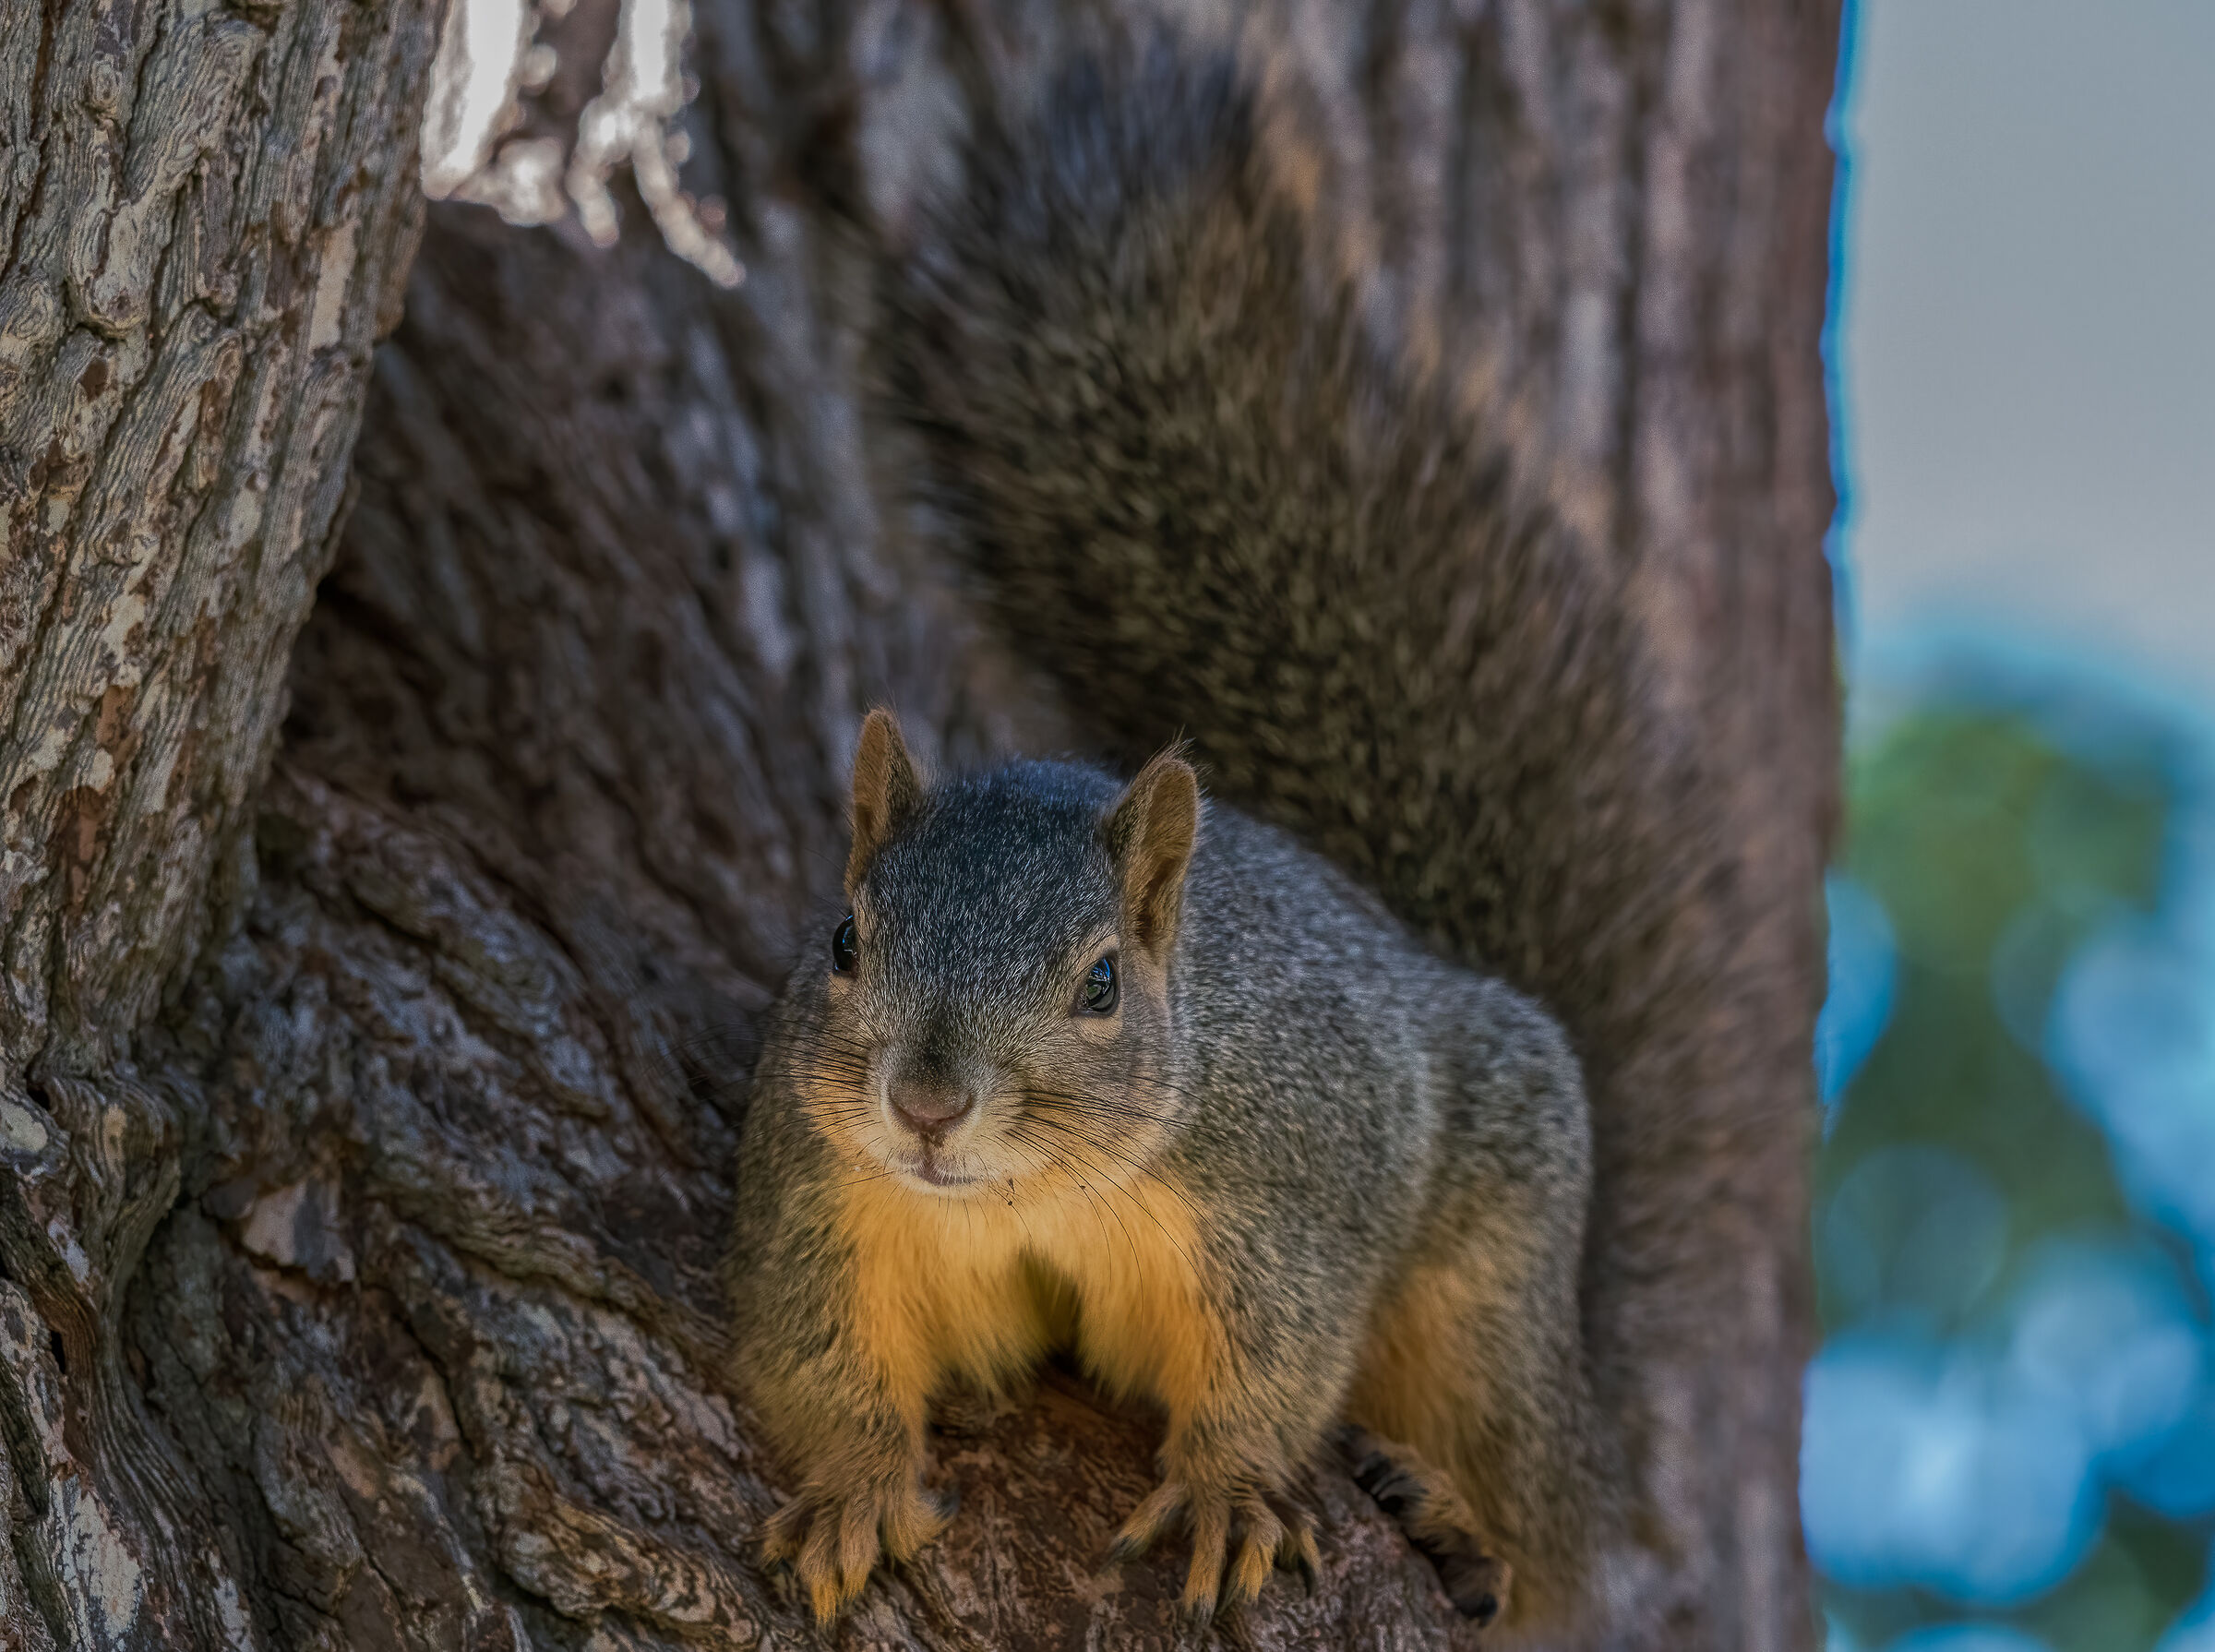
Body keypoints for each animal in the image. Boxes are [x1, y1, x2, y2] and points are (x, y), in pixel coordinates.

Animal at [725, 33, 1657, 1638]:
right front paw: (851, 1485)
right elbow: (812, 1351)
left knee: (1556, 1530)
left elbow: (1273, 1366)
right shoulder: (824, 1201)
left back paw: (1472, 1525)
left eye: (1102, 981)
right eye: (844, 938)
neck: (1028, 1189)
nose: (925, 1105)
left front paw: (1227, 1490)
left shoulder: (1280, 1205)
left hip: (1490, 1297)